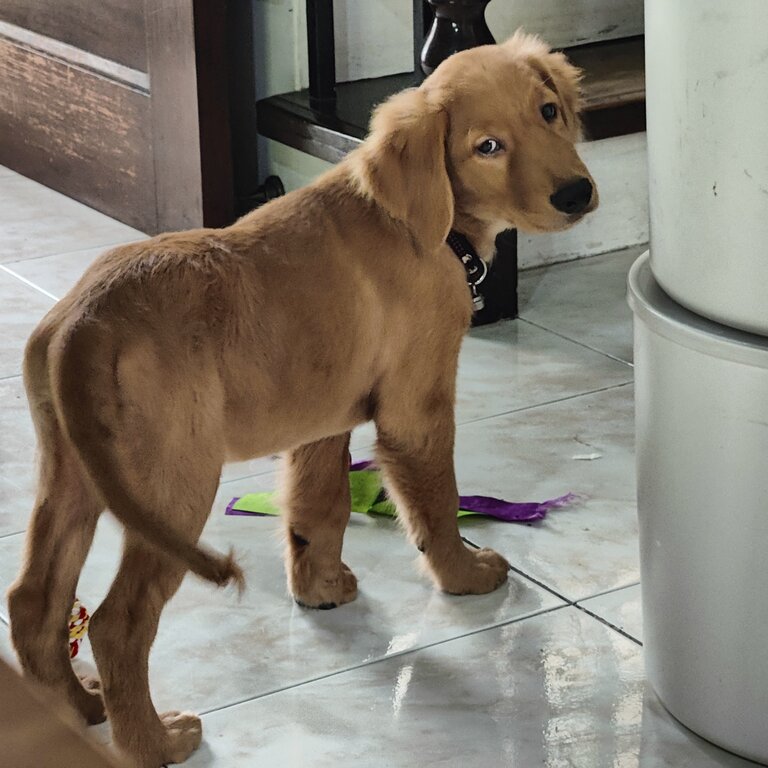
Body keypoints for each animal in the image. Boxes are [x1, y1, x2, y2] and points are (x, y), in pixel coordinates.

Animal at [7, 31, 600, 768]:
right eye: (486, 146)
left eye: (548, 111)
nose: (577, 194)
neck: (425, 225)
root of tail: (82, 323)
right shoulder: (416, 409)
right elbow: (435, 505)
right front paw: (463, 573)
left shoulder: (321, 421)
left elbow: (319, 510)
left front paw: (320, 590)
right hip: (172, 485)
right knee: (118, 623)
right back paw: (153, 741)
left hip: (72, 475)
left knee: (35, 602)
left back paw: (74, 711)